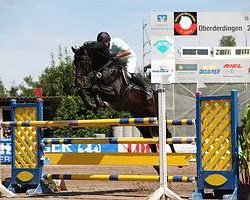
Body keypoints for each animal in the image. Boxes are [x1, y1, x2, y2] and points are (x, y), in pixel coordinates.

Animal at [71, 44, 175, 172]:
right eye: (74, 62)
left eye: (83, 62)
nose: (78, 82)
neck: (105, 70)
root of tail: (157, 93)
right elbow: (85, 90)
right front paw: (93, 104)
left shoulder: (115, 93)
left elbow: (95, 88)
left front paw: (100, 103)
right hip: (142, 122)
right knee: (150, 139)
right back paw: (157, 166)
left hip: (156, 117)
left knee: (168, 135)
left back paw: (177, 160)